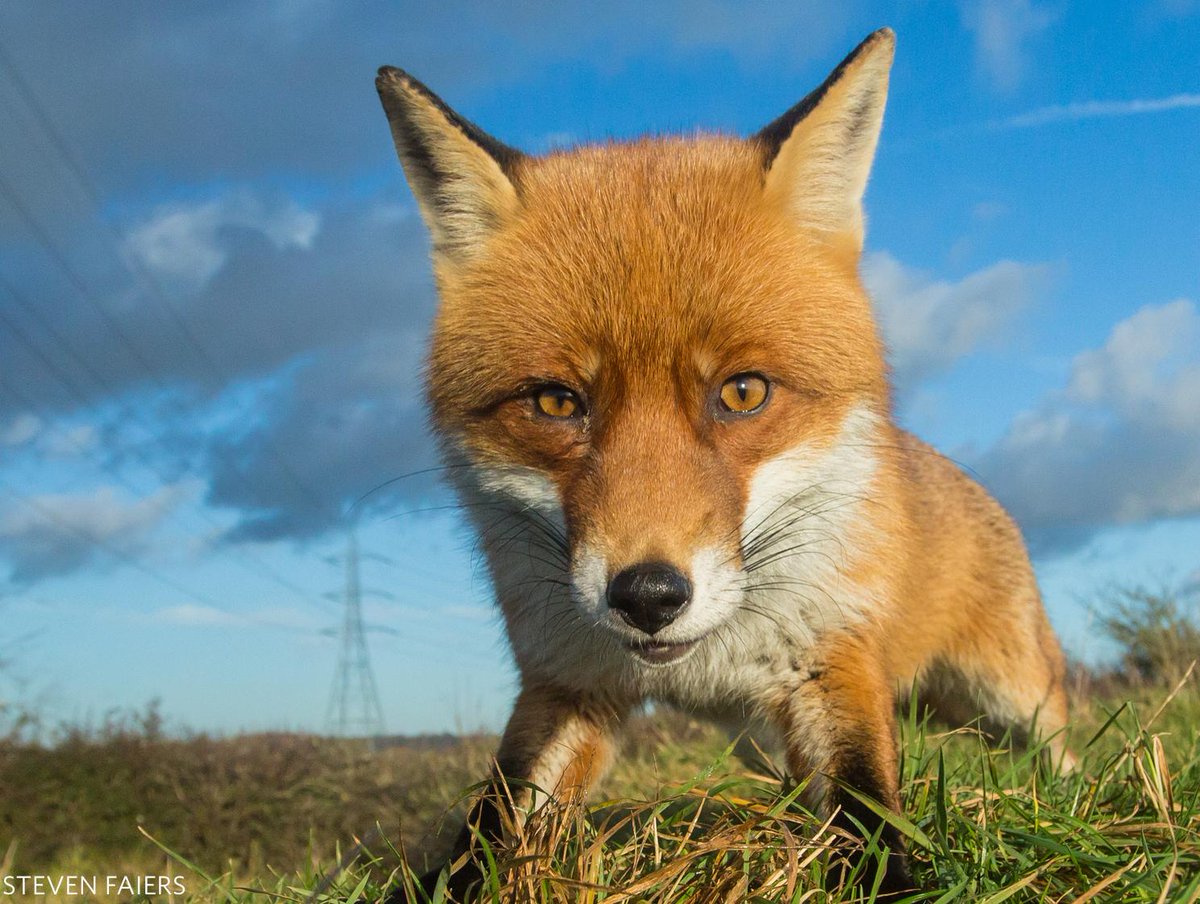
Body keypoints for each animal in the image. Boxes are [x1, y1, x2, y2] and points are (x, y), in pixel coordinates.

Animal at [375, 27, 1074, 901]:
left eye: (742, 391)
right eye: (557, 403)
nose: (647, 596)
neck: (701, 668)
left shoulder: (834, 664)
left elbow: (869, 812)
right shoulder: (567, 683)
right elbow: (490, 825)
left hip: (1012, 695)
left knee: (1062, 743)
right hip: (762, 739)